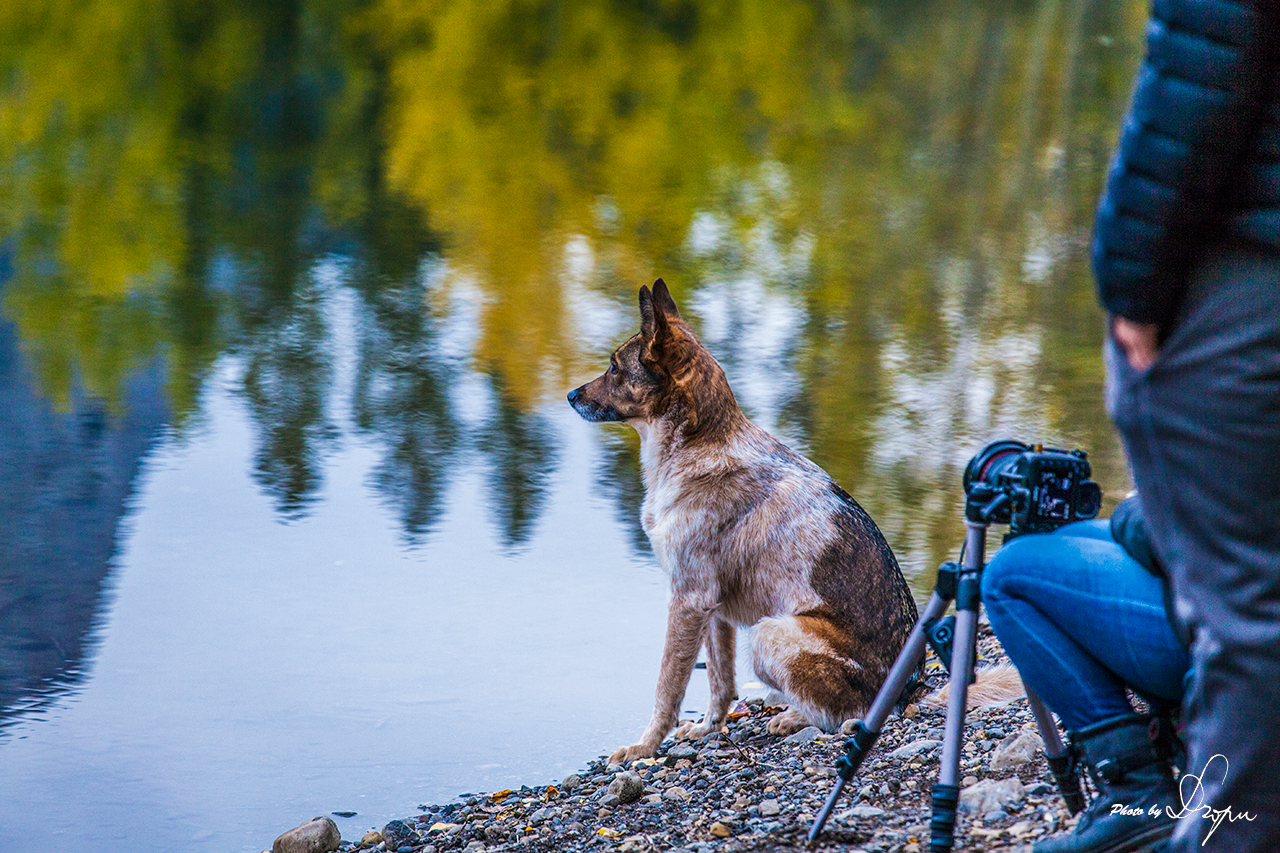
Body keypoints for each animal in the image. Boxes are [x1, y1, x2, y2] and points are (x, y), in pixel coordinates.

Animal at [568, 280, 921, 763]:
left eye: (614, 367)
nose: (571, 396)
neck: (699, 448)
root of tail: (909, 693)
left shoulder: (688, 599)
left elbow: (667, 687)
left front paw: (644, 747)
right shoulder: (712, 610)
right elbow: (720, 682)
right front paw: (706, 729)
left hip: (770, 633)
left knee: (850, 713)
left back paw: (797, 717)